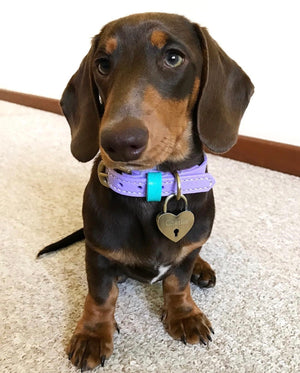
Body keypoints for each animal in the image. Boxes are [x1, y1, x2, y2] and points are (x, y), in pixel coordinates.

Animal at [37, 12, 253, 370]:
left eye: (173, 58)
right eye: (103, 64)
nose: (119, 142)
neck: (153, 186)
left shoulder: (184, 255)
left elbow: (177, 281)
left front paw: (184, 314)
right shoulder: (97, 256)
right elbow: (100, 296)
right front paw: (93, 333)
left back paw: (202, 268)